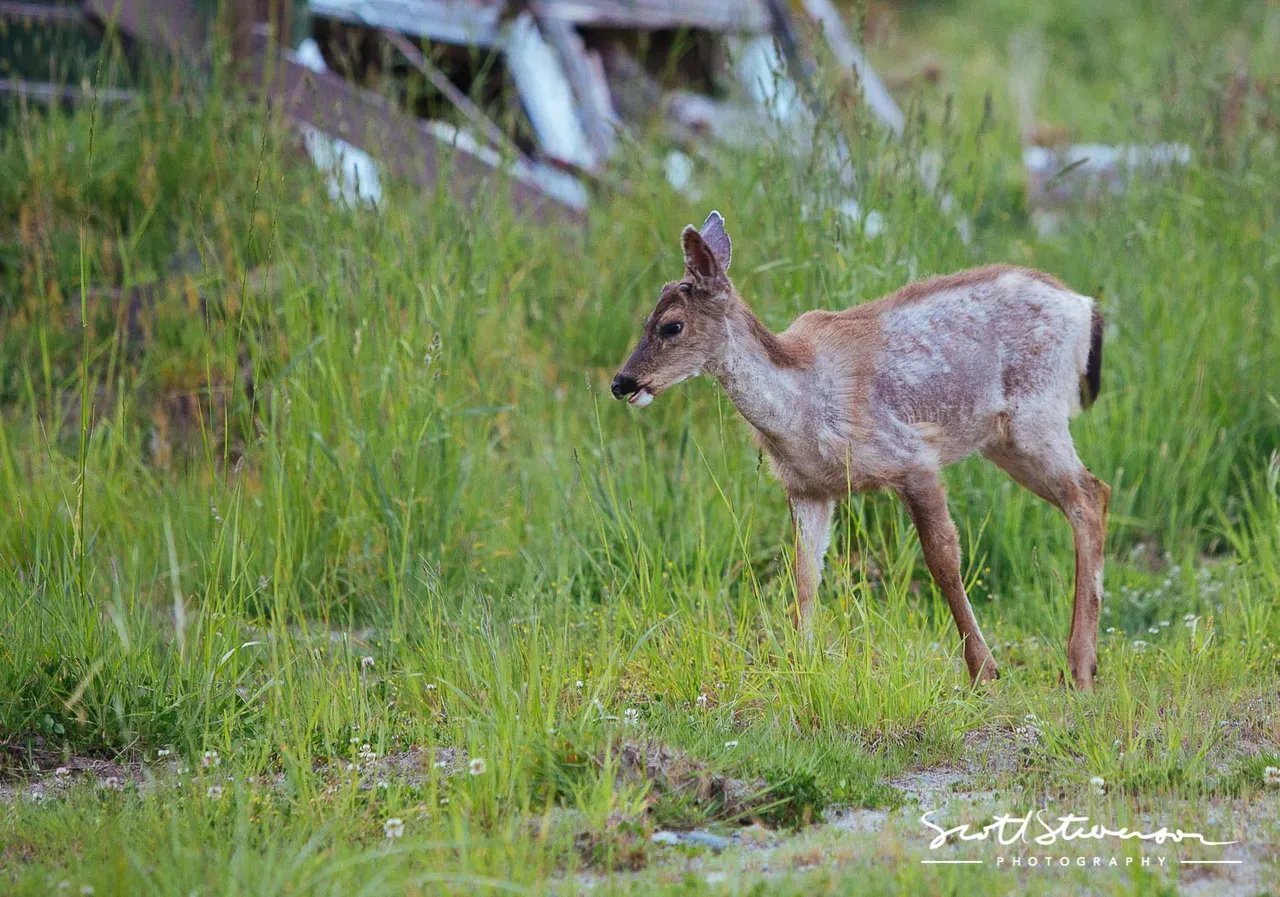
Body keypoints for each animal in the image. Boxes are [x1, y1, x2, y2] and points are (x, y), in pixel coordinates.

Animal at [611, 211, 1110, 690]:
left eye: (671, 326)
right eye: (647, 319)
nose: (622, 383)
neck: (801, 410)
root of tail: (1085, 307)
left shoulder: (913, 456)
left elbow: (944, 561)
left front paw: (983, 671)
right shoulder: (808, 488)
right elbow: (804, 575)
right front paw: (799, 665)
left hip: (1036, 416)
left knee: (1088, 495)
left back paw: (1078, 670)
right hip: (1003, 441)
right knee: (1093, 494)